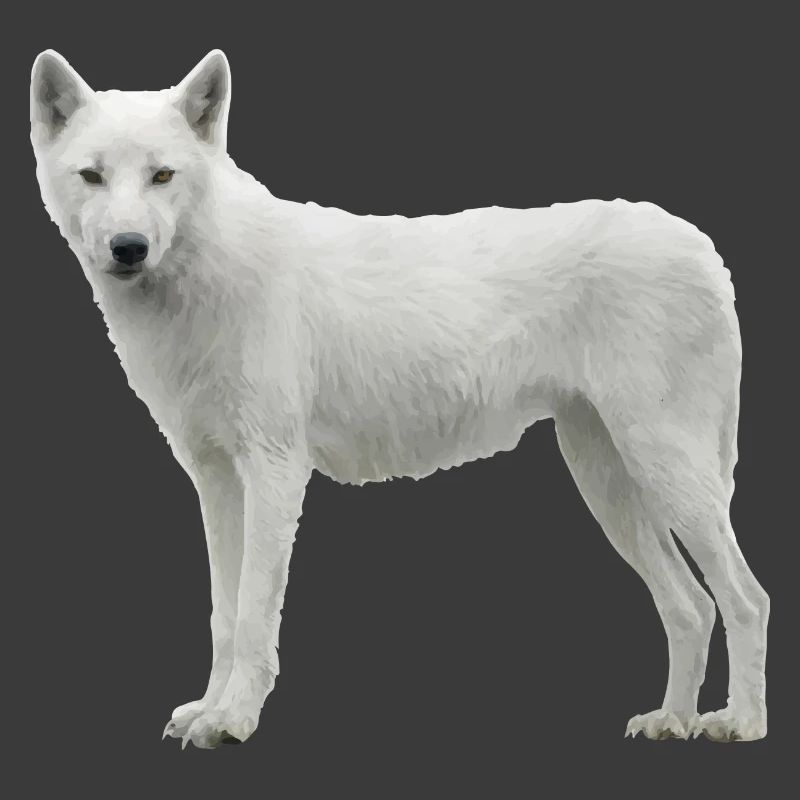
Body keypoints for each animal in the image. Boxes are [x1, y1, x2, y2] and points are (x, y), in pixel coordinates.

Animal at [30, 49, 769, 748]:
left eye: (162, 176)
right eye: (92, 176)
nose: (129, 248)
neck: (206, 276)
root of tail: (700, 245)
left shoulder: (274, 470)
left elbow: (253, 613)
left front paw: (234, 720)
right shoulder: (214, 479)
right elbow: (223, 614)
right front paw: (208, 711)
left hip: (665, 472)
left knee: (745, 599)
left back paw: (739, 723)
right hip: (609, 482)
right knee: (690, 607)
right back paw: (671, 720)